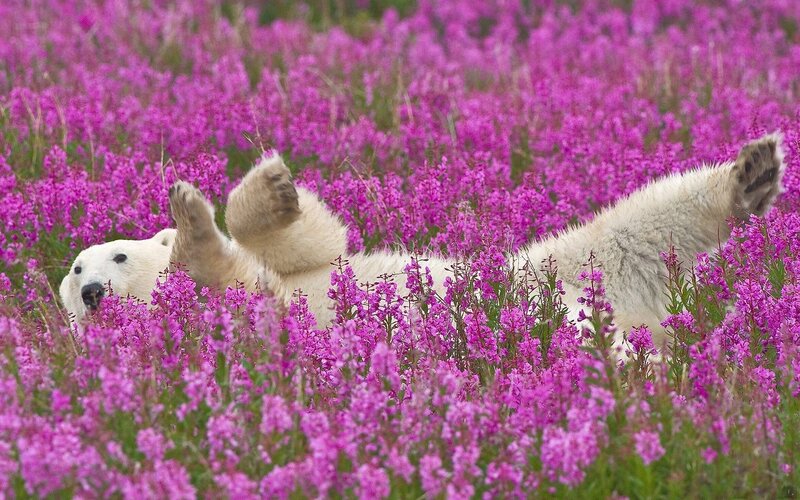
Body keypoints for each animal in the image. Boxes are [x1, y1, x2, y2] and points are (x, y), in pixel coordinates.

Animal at [60, 134, 786, 352]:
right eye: (74, 272)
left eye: (114, 254)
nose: (92, 291)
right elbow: (235, 284)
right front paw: (192, 225)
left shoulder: (304, 267)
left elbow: (315, 242)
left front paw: (258, 190)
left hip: (560, 265)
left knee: (642, 222)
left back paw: (752, 172)